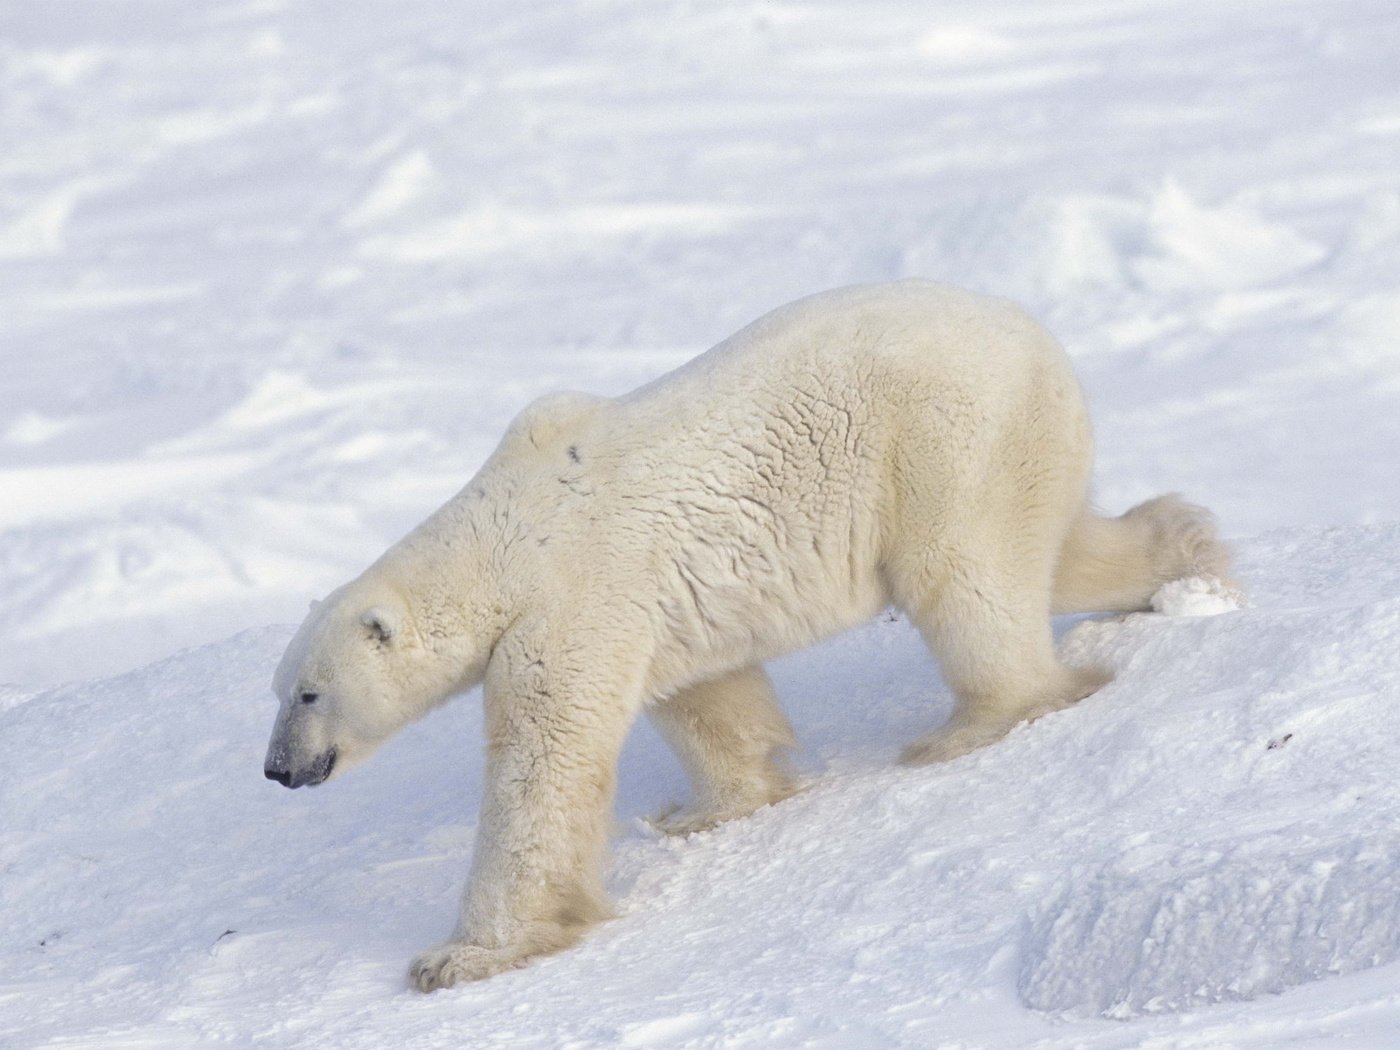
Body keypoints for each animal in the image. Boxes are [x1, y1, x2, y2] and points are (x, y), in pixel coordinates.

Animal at [260, 281, 1226, 996]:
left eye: (309, 691)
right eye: (276, 693)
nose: (276, 770)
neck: (501, 535)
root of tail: (1041, 343)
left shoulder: (574, 597)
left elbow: (543, 768)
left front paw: (458, 956)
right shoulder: (651, 603)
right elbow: (704, 696)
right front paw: (711, 808)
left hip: (945, 444)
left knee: (966, 577)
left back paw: (970, 726)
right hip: (1019, 449)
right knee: (1055, 550)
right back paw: (1188, 558)